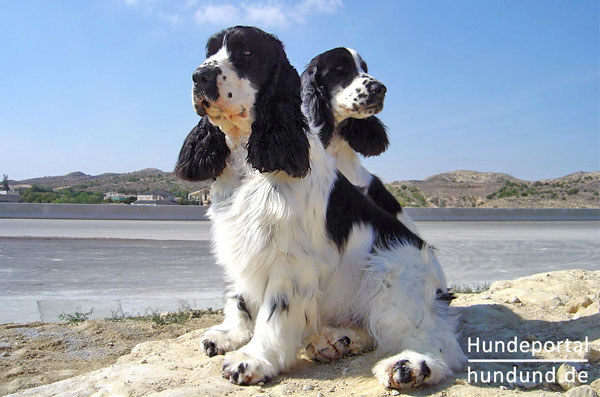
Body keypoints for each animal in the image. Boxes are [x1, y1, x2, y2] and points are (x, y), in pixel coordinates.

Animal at [173, 26, 464, 388]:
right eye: (210, 51)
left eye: (246, 52)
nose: (200, 76)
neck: (248, 156)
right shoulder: (241, 240)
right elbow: (240, 298)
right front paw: (230, 335)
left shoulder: (290, 260)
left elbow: (275, 313)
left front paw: (254, 359)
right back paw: (338, 340)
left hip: (389, 278)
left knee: (438, 343)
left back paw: (408, 366)